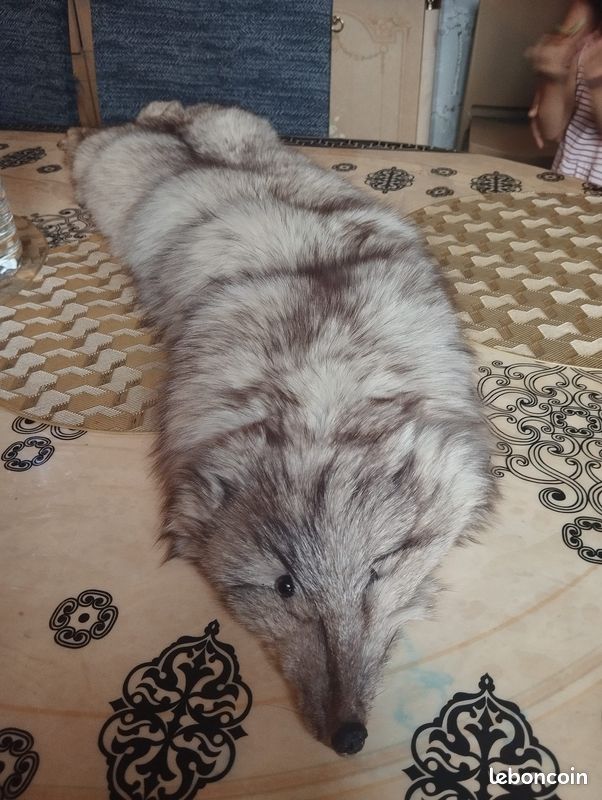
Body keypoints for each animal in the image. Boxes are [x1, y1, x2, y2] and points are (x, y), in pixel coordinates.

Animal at [62, 101, 494, 756]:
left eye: (377, 572)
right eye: (285, 587)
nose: (349, 739)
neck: (322, 396)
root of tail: (181, 134)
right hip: (107, 168)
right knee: (104, 136)